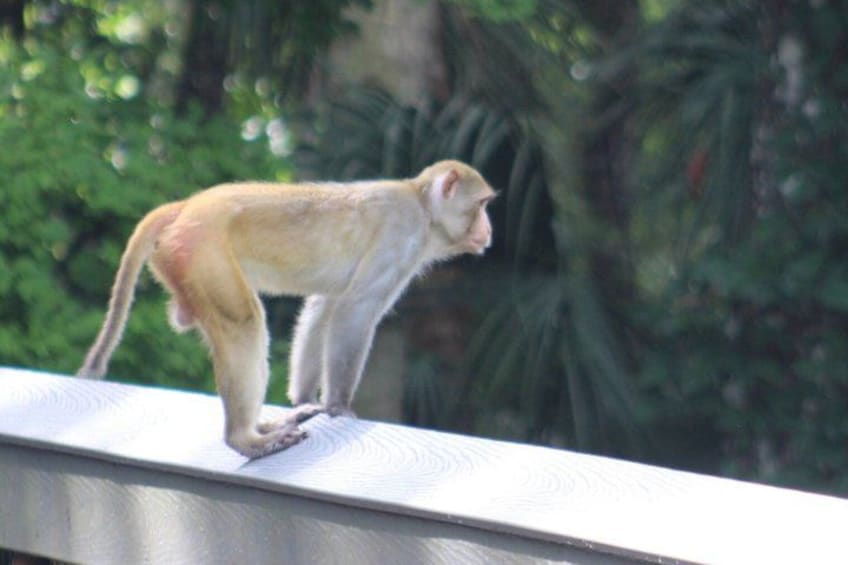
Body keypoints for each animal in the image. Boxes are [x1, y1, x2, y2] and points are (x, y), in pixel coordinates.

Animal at [77, 160, 496, 458]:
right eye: (481, 205)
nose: (489, 230)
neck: (423, 207)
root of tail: (186, 206)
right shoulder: (401, 234)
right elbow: (354, 310)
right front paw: (339, 406)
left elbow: (323, 308)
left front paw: (305, 397)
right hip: (202, 253)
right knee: (243, 323)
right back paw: (246, 439)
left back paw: (262, 427)